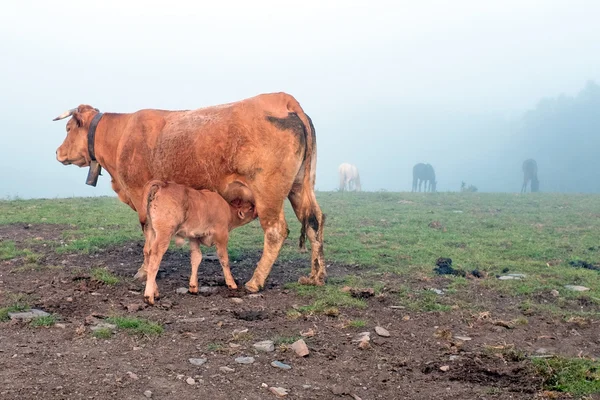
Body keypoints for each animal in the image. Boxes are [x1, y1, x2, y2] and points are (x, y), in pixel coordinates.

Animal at [54, 94, 326, 294]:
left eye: (68, 128)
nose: (57, 152)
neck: (121, 135)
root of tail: (283, 99)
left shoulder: (141, 195)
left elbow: (148, 239)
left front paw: (143, 271)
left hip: (268, 193)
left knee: (276, 231)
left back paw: (255, 281)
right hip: (300, 186)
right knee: (315, 221)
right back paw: (316, 276)